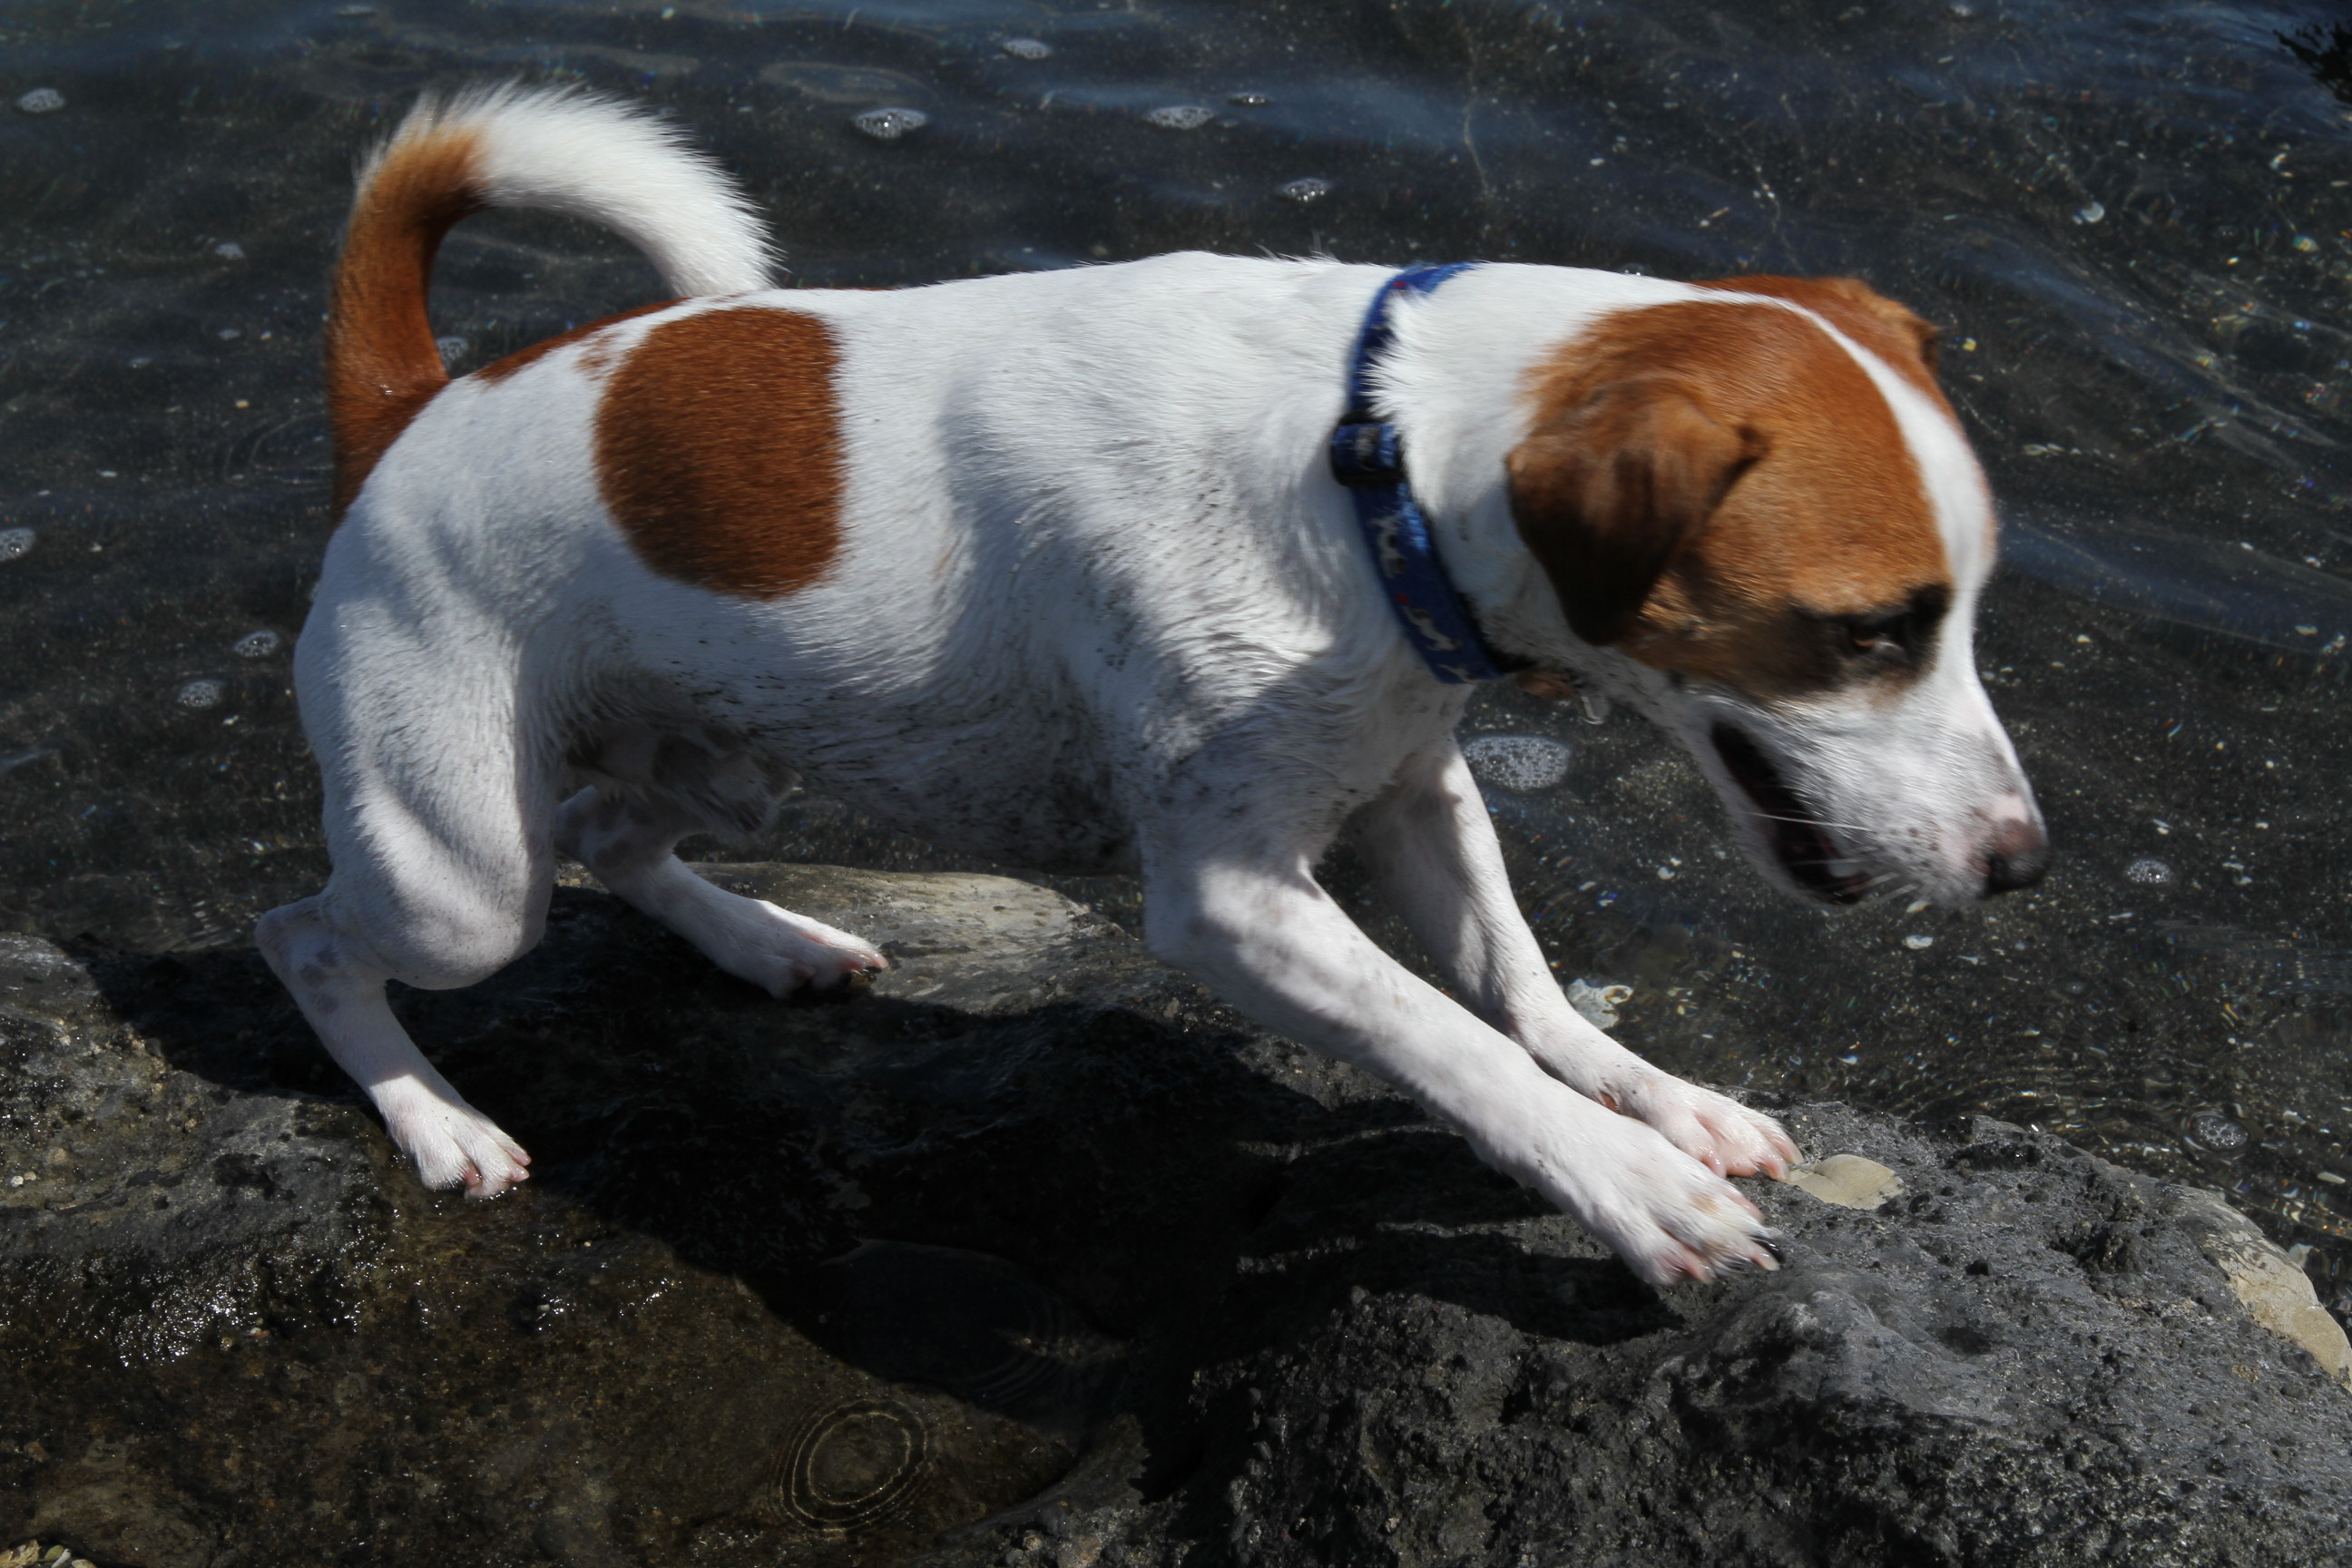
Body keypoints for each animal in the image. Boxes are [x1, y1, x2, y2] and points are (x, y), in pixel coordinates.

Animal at [257, 85, 2047, 1288]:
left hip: (724, 755)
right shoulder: (1234, 900)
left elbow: (1523, 987)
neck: (1373, 457)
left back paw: (766, 940)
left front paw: (1655, 1102)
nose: (2025, 865)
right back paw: (434, 1117)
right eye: (1870, 630)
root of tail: (408, 410)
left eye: (1964, 613)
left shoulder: (1412, 783)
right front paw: (1624, 1182)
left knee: (616, 837)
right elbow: (1450, 1041)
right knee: (313, 935)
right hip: (459, 876)